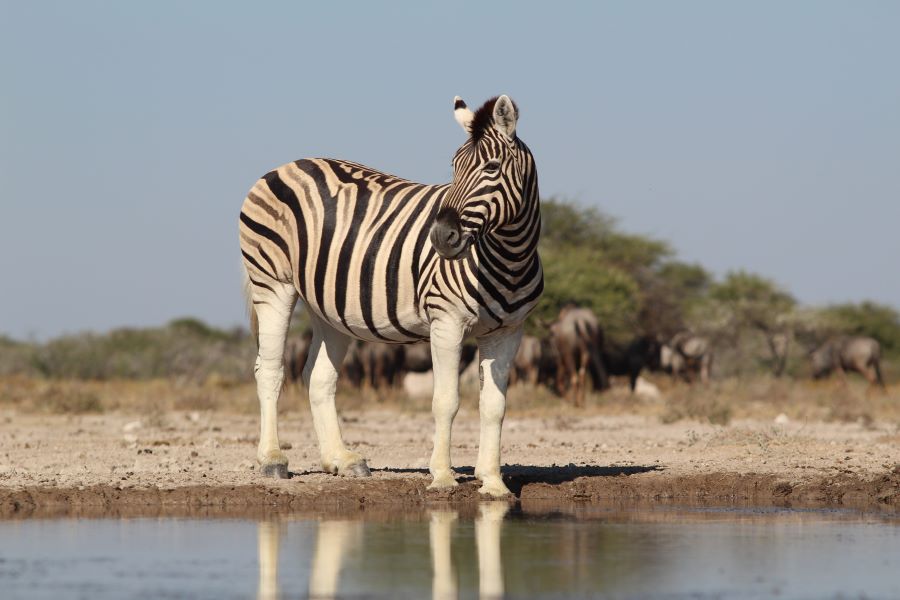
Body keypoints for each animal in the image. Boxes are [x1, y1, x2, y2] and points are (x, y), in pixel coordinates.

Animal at [238, 95, 542, 496]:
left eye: (491, 167)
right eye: (454, 167)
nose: (440, 236)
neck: (509, 255)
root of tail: (288, 164)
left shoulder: (508, 332)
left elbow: (494, 406)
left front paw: (493, 483)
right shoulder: (446, 322)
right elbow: (446, 401)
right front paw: (442, 476)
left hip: (329, 307)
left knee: (318, 377)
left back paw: (341, 459)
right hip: (272, 281)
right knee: (270, 371)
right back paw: (272, 460)